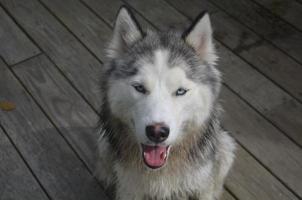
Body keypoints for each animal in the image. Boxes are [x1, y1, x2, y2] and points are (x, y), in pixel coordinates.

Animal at [96, 6, 236, 200]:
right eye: (139, 88)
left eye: (180, 91)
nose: (157, 132)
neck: (160, 171)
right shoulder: (129, 189)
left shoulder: (201, 186)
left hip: (226, 147)